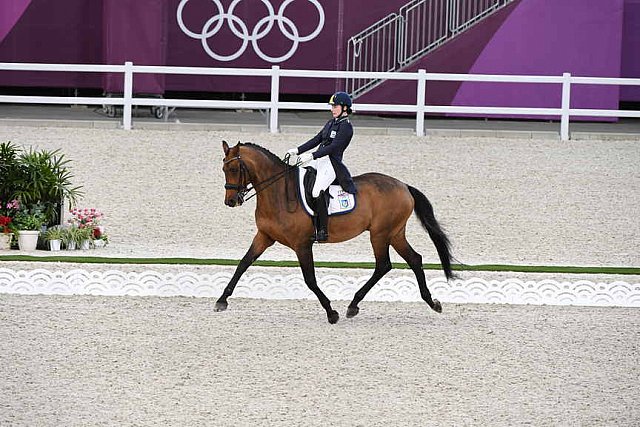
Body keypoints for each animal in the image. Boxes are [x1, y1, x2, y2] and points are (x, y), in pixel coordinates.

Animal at [220, 140, 456, 324]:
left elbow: (310, 279)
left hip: (380, 234)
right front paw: (222, 300)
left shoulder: (301, 244)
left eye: (234, 169)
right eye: (223, 169)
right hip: (395, 233)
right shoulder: (264, 236)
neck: (278, 193)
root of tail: (404, 186)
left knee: (383, 265)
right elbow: (243, 263)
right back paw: (432, 302)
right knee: (414, 259)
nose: (231, 201)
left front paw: (331, 313)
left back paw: (353, 305)